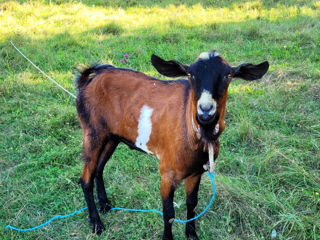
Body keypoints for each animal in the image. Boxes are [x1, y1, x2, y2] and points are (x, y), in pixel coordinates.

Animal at [75, 51, 268, 239]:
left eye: (228, 75)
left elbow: (192, 202)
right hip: (92, 133)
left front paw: (191, 234)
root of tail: (90, 79)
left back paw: (105, 205)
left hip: (111, 137)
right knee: (85, 179)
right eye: (190, 74)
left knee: (99, 169)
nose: (205, 112)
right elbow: (168, 213)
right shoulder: (167, 172)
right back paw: (97, 224)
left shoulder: (196, 171)